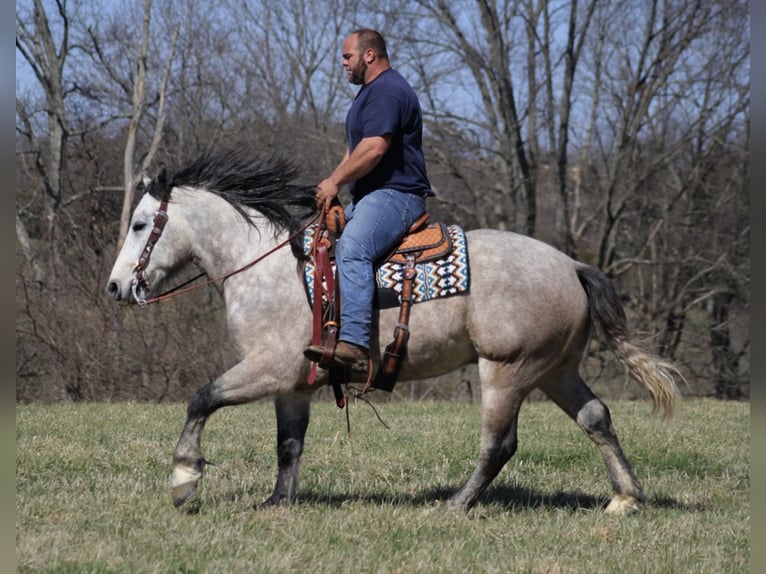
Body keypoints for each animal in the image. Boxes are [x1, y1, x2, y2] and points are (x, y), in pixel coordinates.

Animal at [106, 148, 684, 516]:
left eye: (140, 224)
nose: (115, 287)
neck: (267, 266)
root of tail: (571, 265)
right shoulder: (293, 385)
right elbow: (288, 445)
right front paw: (278, 501)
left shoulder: (269, 368)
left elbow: (201, 399)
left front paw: (184, 479)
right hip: (556, 370)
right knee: (596, 418)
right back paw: (625, 498)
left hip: (507, 371)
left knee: (499, 443)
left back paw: (455, 504)